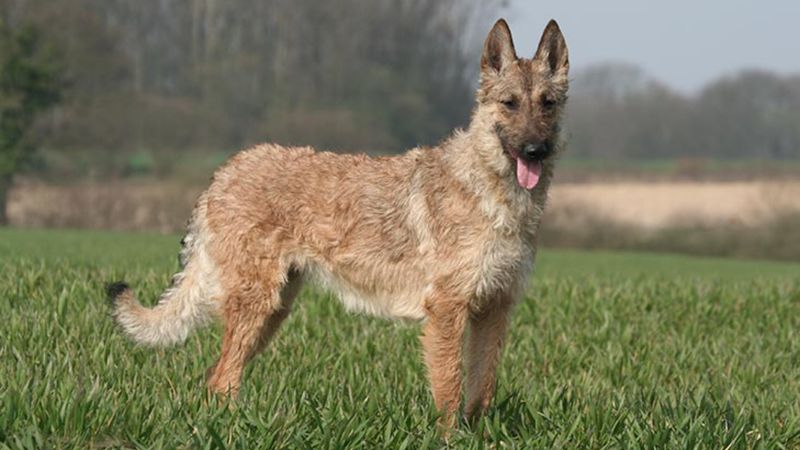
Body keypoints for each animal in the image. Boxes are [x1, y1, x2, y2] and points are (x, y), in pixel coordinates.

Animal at [109, 19, 568, 428]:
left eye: (547, 103)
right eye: (509, 103)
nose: (535, 149)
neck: (497, 195)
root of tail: (222, 173)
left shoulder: (495, 309)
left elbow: (481, 389)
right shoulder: (447, 310)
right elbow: (450, 390)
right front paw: (449, 439)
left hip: (272, 312)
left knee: (215, 377)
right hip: (255, 309)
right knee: (222, 379)